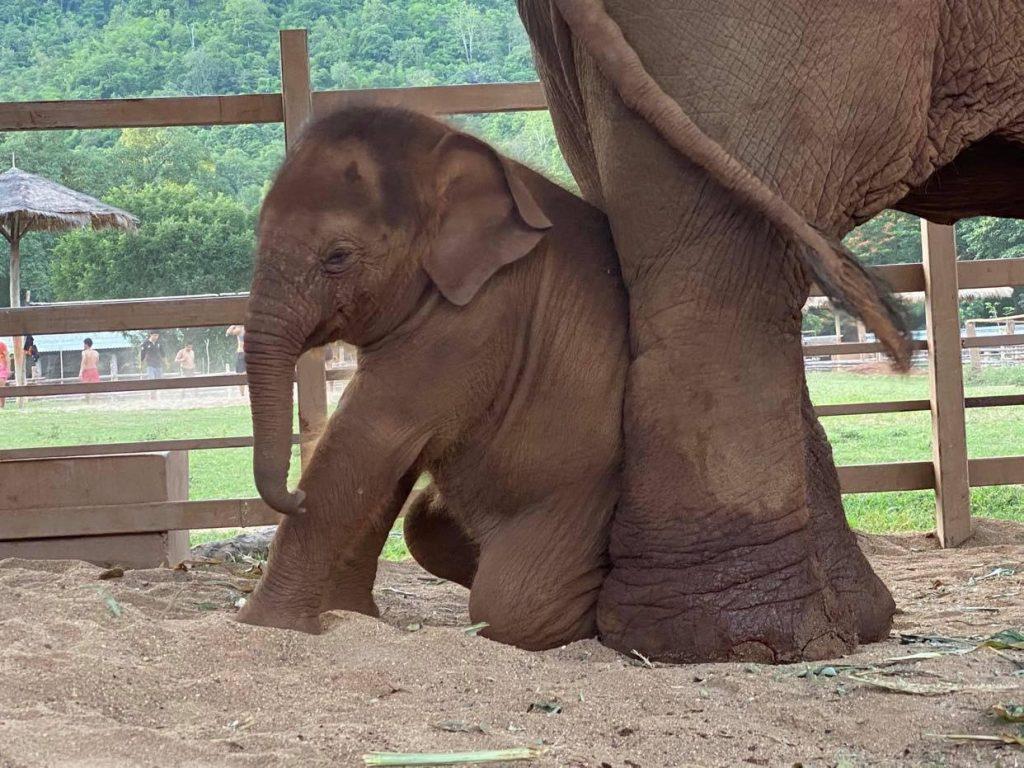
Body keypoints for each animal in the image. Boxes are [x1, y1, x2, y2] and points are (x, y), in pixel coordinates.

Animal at [235, 105, 626, 651]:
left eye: (337, 257)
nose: (293, 495)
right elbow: (393, 462)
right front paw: (350, 616)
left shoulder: (474, 319)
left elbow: (369, 436)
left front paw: (264, 625)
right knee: (423, 522)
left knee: (513, 605)